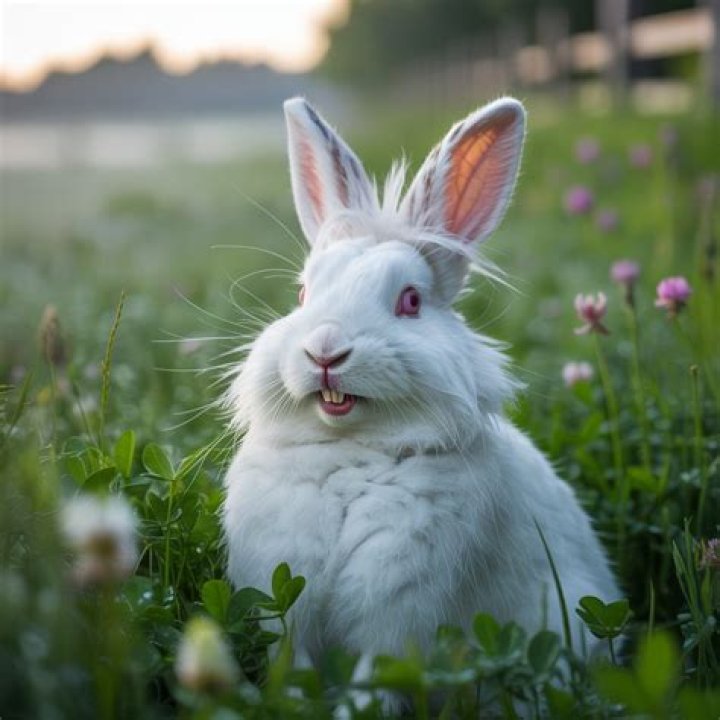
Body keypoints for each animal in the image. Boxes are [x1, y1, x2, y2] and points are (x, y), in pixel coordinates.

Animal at [222, 96, 620, 711]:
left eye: (409, 301)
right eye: (303, 294)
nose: (325, 350)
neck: (350, 448)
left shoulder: (397, 614)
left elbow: (373, 679)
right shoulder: (287, 608)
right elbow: (295, 668)